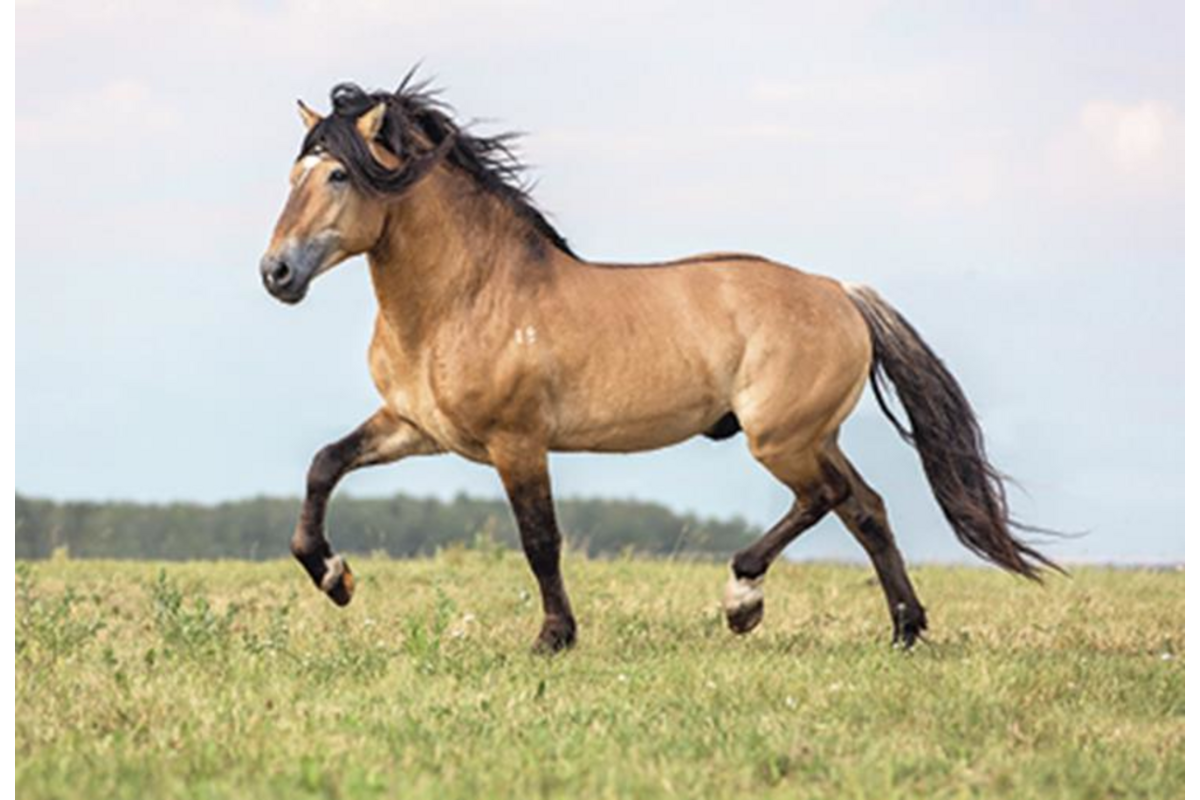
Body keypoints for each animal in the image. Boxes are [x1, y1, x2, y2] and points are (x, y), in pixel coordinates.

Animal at [259, 77, 1058, 652]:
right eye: (292, 175)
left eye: (337, 176)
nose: (276, 273)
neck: (468, 296)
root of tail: (841, 293)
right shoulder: (416, 427)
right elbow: (325, 464)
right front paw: (333, 577)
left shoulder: (517, 443)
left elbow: (540, 541)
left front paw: (554, 639)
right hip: (812, 435)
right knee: (866, 508)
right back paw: (904, 629)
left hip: (781, 438)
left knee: (824, 499)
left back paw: (744, 601)